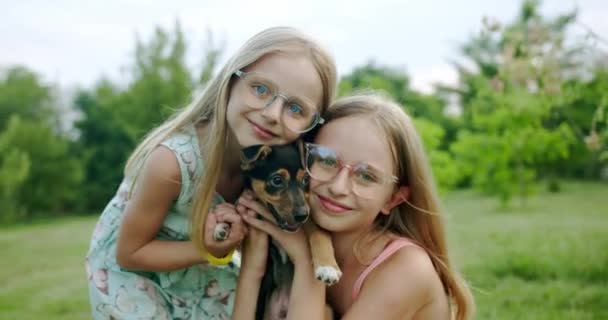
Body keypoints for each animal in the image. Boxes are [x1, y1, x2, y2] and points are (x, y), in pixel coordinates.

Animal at [213, 142, 342, 320]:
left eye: (306, 179)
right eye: (277, 180)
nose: (302, 215)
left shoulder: (309, 219)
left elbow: (319, 233)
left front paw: (327, 267)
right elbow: (237, 208)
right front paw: (222, 226)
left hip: (327, 309)